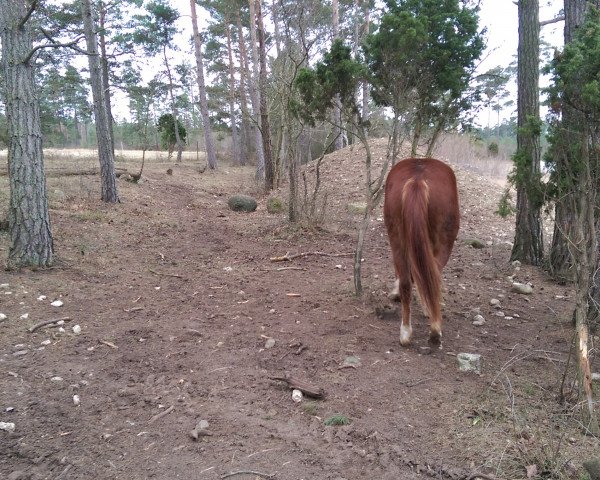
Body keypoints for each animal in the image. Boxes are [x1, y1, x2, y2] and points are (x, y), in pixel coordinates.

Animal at [382, 158, 462, 344]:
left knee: (406, 282)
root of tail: (417, 180)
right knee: (433, 277)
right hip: (444, 242)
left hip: (397, 237)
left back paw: (405, 331)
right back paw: (435, 328)